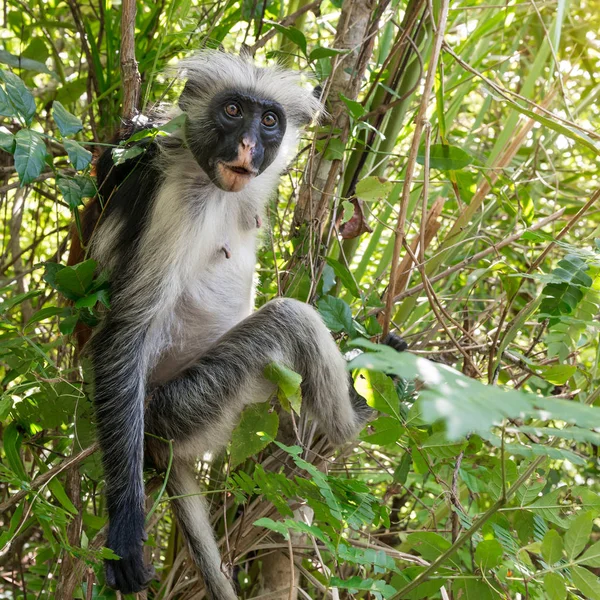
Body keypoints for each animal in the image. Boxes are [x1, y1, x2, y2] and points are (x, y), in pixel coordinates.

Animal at [82, 52, 376, 600]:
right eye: (233, 110)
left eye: (269, 120)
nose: (248, 146)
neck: (215, 189)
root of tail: (156, 442)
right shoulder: (176, 202)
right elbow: (127, 333)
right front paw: (125, 524)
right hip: (189, 404)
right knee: (290, 316)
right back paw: (355, 418)